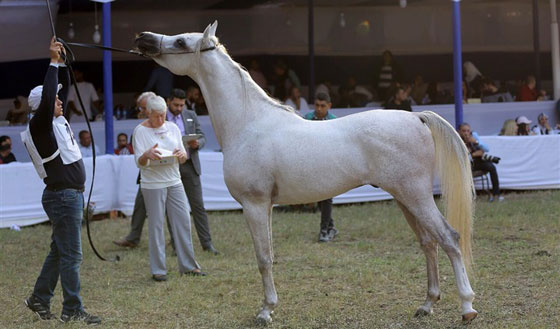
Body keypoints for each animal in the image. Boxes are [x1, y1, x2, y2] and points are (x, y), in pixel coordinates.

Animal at [135, 21, 476, 324]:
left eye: (181, 41)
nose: (143, 38)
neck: (249, 122)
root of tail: (417, 117)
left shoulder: (254, 204)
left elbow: (263, 259)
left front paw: (265, 312)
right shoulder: (266, 206)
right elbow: (270, 255)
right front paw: (270, 307)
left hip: (416, 196)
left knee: (449, 237)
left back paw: (467, 307)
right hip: (405, 198)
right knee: (428, 243)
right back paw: (427, 305)